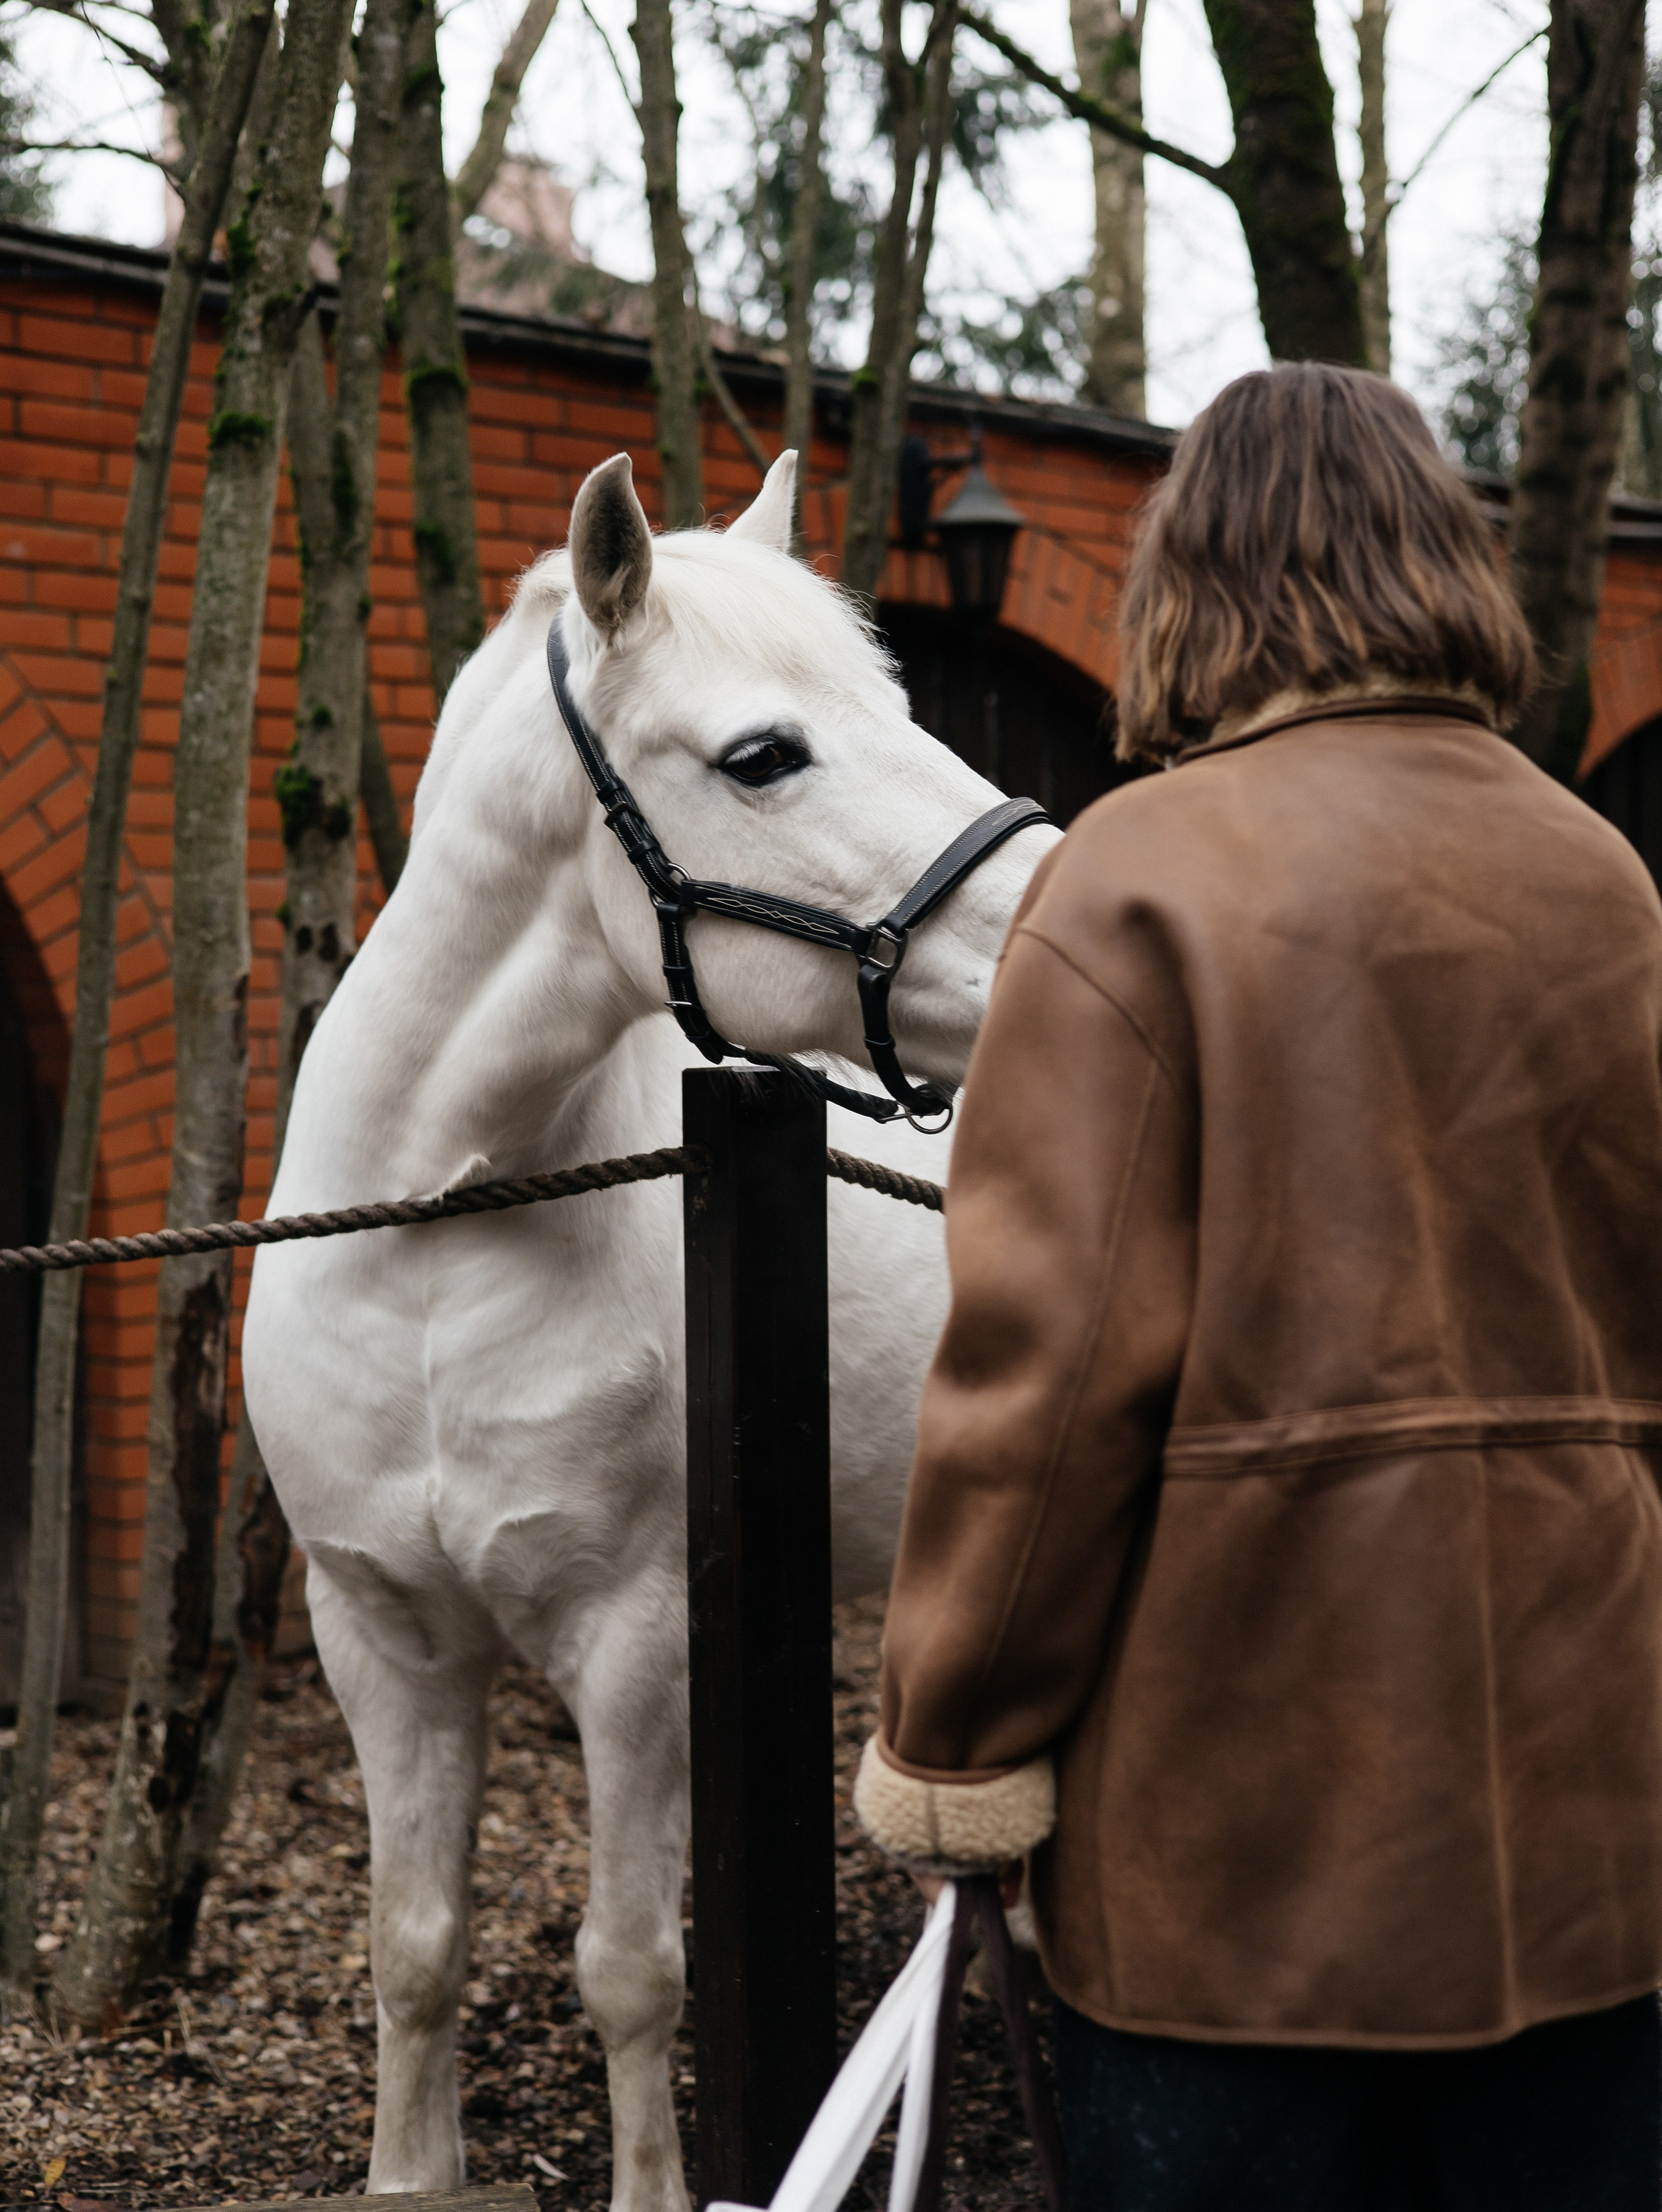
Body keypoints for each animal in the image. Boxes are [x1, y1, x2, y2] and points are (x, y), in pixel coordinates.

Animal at [240, 448, 1058, 2211]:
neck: (437, 1237)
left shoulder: (632, 1638)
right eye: (762, 755)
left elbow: (627, 1961)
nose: (1063, 920)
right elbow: (412, 1941)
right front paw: (411, 2170)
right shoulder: (381, 1633)